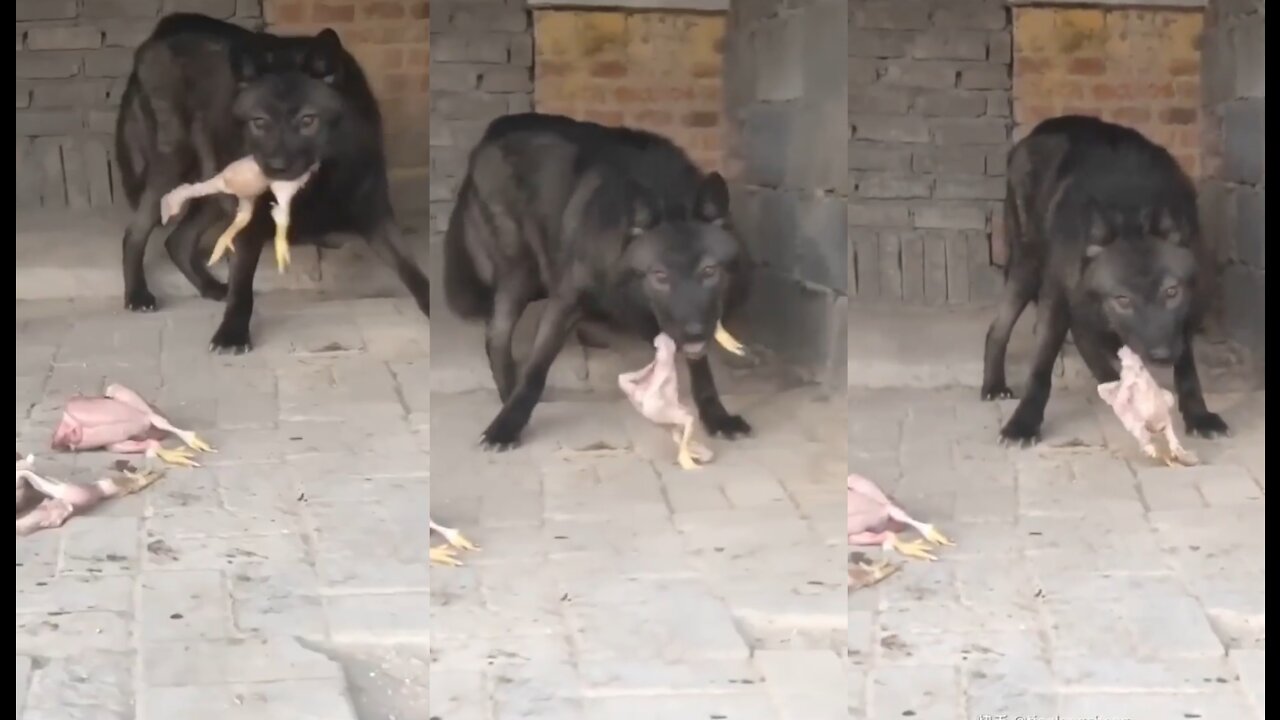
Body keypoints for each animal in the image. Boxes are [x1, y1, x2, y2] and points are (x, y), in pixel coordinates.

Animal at [113, 13, 430, 351]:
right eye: (259, 121)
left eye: (308, 120)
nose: (276, 167)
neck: (315, 183)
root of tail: (163, 30)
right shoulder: (249, 222)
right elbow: (242, 287)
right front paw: (232, 333)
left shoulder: (375, 215)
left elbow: (410, 267)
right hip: (174, 166)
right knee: (135, 233)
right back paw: (137, 294)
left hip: (216, 185)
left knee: (177, 241)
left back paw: (209, 287)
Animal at [448, 112, 752, 448]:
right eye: (659, 275)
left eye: (709, 271)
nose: (694, 332)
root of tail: (493, 129)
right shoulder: (565, 303)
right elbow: (536, 370)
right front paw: (507, 425)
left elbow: (702, 371)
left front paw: (717, 417)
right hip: (519, 272)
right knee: (497, 336)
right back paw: (506, 398)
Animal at [977, 116, 1228, 443]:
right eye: (1122, 299)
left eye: (1172, 292)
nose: (1161, 356)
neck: (1130, 210)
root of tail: (1040, 129)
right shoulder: (1056, 297)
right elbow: (1041, 366)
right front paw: (1023, 423)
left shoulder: (1187, 311)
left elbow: (1186, 369)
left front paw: (1199, 415)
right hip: (1027, 266)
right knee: (998, 329)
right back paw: (994, 385)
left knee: (1082, 332)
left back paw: (1113, 383)